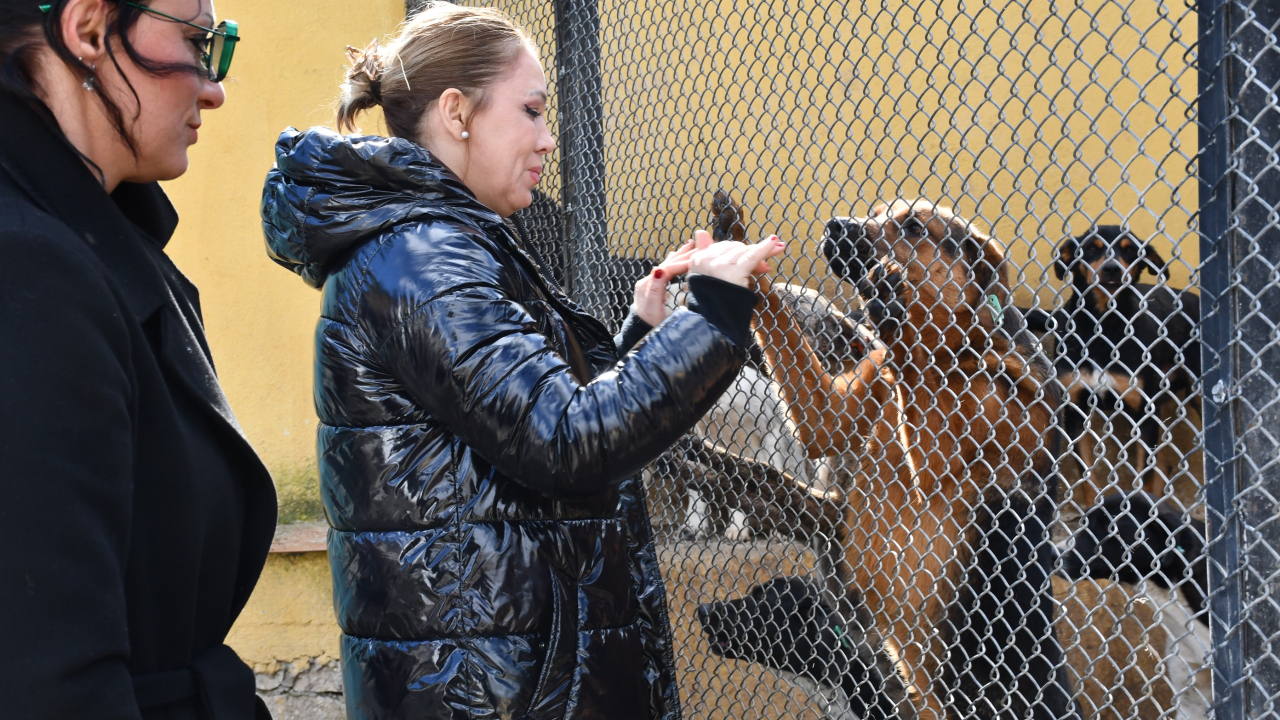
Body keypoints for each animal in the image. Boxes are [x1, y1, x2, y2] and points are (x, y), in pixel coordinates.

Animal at [752, 197, 1075, 717]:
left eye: (914, 227)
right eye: (880, 210)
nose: (835, 225)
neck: (950, 352)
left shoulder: (944, 455)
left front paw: (894, 307)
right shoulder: (834, 414)